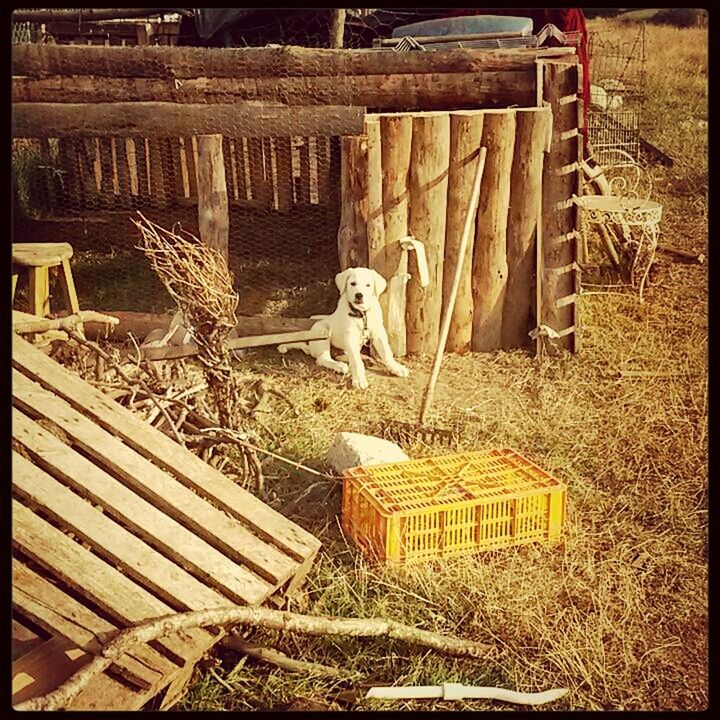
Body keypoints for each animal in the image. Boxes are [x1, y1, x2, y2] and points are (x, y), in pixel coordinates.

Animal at [278, 266, 408, 388]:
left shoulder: (378, 332)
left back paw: (363, 358)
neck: (362, 314)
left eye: (368, 285)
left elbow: (386, 353)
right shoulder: (350, 336)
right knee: (323, 358)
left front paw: (397, 368)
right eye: (352, 283)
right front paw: (359, 379)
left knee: (343, 355)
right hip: (322, 331)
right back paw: (340, 366)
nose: (359, 295)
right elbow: (356, 361)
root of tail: (309, 346)